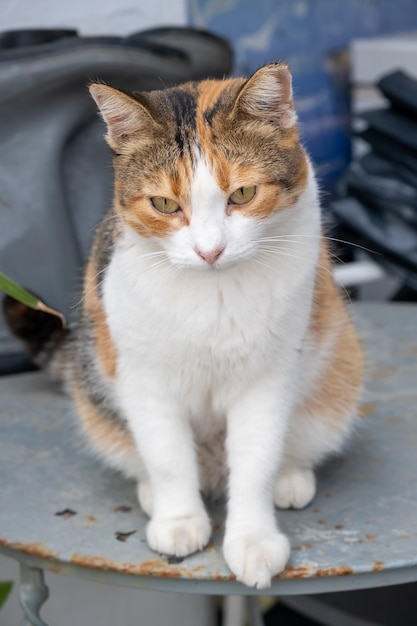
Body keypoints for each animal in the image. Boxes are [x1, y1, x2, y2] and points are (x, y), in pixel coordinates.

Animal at [2, 64, 360, 588]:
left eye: (243, 194)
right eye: (165, 204)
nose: (210, 251)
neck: (213, 295)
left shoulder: (267, 380)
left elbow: (255, 462)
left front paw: (252, 541)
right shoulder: (145, 380)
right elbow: (168, 458)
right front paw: (178, 521)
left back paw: (290, 477)